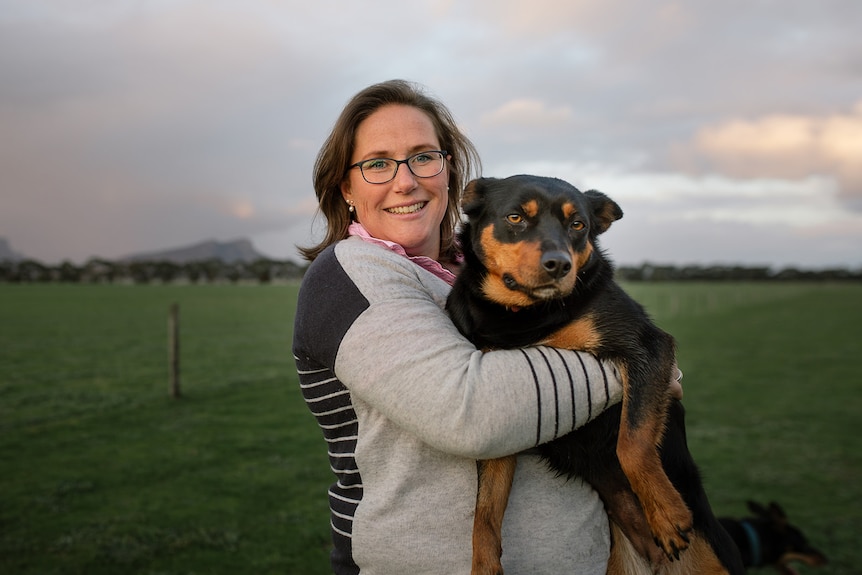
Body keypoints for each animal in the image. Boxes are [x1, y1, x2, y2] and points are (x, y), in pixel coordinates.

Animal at [448, 176, 744, 575]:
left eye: (578, 225)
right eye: (515, 217)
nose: (558, 265)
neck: (527, 315)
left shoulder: (646, 348)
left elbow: (631, 443)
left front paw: (666, 514)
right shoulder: (500, 424)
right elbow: (485, 509)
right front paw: (483, 565)